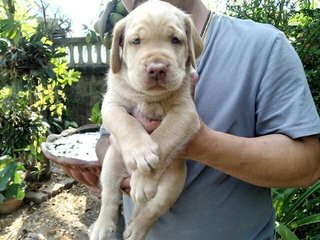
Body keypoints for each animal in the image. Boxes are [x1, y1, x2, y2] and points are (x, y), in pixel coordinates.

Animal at [90, 0, 204, 239]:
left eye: (175, 40)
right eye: (136, 41)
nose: (157, 69)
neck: (150, 98)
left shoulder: (185, 113)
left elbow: (163, 136)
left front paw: (143, 177)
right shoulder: (111, 104)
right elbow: (127, 123)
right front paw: (140, 152)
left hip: (173, 182)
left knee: (152, 209)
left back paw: (136, 227)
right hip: (110, 163)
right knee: (109, 197)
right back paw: (102, 226)